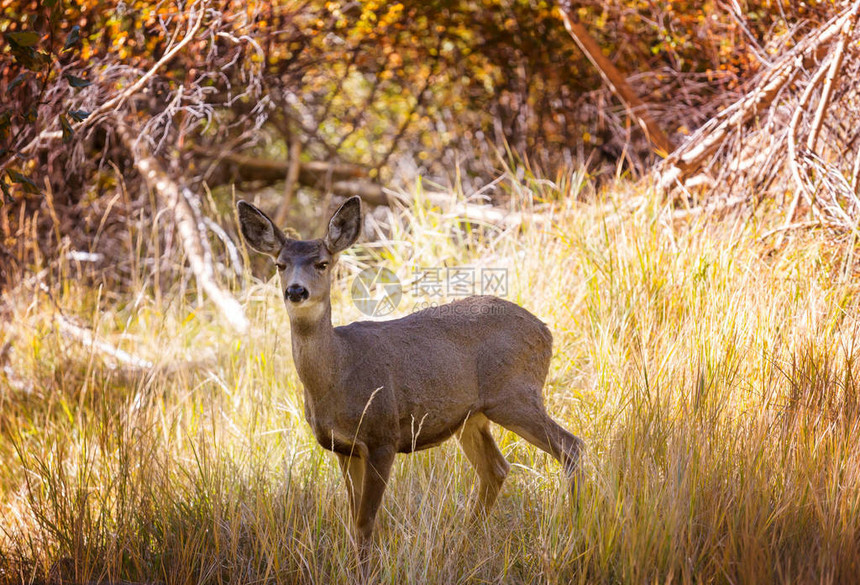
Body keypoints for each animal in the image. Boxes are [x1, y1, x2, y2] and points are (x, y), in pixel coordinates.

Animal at [239, 195, 580, 552]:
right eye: (280, 264)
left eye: (322, 263)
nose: (296, 291)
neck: (338, 371)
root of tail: (546, 331)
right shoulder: (342, 446)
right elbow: (354, 519)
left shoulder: (382, 435)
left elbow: (365, 522)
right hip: (472, 417)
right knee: (496, 469)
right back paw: (463, 541)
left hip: (515, 395)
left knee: (572, 447)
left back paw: (575, 535)